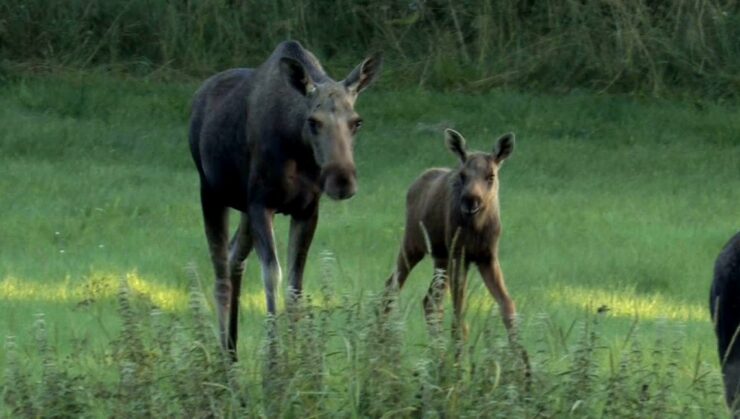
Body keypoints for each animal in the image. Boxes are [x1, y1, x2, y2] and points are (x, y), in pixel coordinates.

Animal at [188, 41, 382, 360]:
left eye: (357, 122)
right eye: (313, 122)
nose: (342, 181)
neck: (297, 148)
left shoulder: (306, 209)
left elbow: (294, 286)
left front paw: (297, 356)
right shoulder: (261, 204)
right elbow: (272, 275)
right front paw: (274, 359)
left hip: (243, 209)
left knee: (234, 256)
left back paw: (232, 349)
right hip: (211, 192)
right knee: (220, 271)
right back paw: (223, 357)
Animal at [384, 129, 516, 342]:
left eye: (491, 176)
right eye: (462, 175)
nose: (471, 200)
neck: (477, 228)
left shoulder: (487, 257)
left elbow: (508, 305)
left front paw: (521, 352)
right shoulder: (459, 255)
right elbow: (459, 318)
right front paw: (459, 350)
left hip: (441, 257)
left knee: (430, 301)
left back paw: (437, 347)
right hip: (413, 245)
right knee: (392, 286)